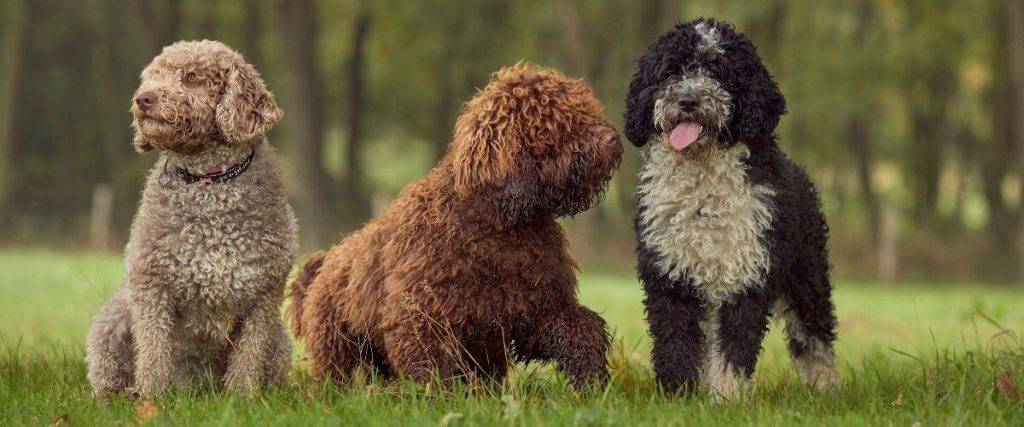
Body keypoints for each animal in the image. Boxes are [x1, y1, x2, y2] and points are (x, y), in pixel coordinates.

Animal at [86, 39, 299, 395]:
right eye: (151, 76)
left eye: (192, 77)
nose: (143, 98)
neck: (209, 182)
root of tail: (198, 387)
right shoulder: (151, 287)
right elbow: (153, 353)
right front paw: (153, 398)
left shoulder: (263, 296)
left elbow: (248, 357)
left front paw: (242, 397)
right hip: (111, 321)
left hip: (281, 342)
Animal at [286, 63, 622, 389]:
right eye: (554, 120)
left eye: (586, 109)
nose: (613, 137)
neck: (500, 226)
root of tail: (323, 266)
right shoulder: (423, 313)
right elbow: (432, 367)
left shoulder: (537, 307)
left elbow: (579, 330)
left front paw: (591, 381)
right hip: (338, 346)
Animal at [622, 19, 839, 399]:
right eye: (671, 71)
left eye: (717, 71)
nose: (688, 99)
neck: (702, 192)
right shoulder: (670, 276)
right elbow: (676, 344)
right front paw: (678, 395)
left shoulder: (745, 276)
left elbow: (733, 349)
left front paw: (726, 397)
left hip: (806, 277)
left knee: (814, 336)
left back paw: (825, 387)